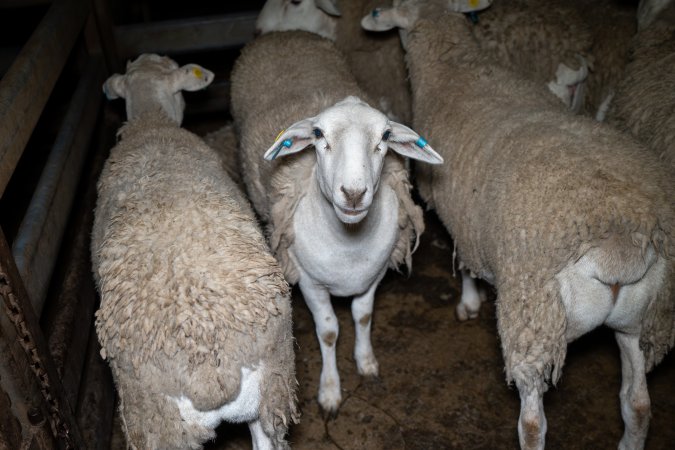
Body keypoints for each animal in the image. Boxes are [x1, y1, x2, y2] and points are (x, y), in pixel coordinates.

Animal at [230, 30, 446, 414]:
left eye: (385, 137)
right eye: (318, 134)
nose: (354, 193)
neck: (349, 242)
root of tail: (284, 33)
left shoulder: (373, 275)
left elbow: (362, 316)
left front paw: (366, 362)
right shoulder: (309, 281)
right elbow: (329, 331)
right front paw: (330, 390)